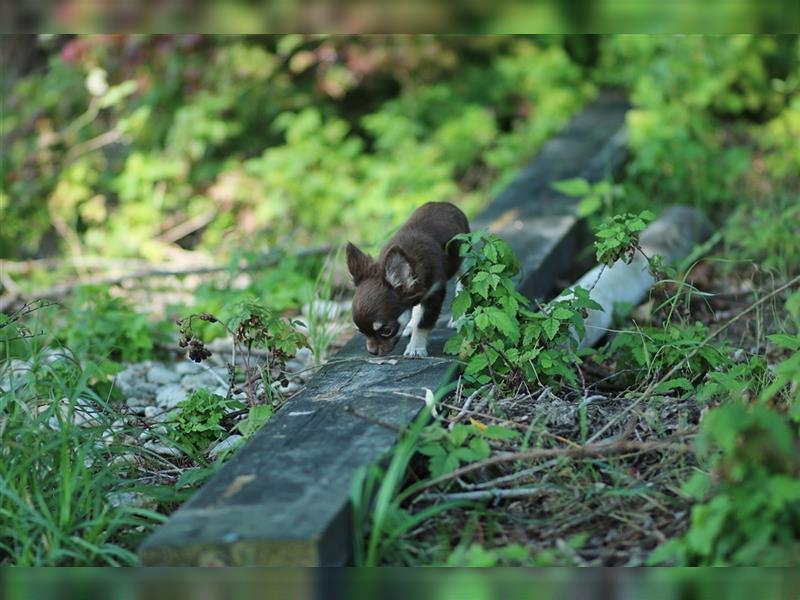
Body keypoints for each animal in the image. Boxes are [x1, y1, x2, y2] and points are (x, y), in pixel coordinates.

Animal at [346, 202, 468, 356]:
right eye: (361, 332)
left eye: (386, 331)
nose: (372, 352)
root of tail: (444, 204)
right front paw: (412, 327)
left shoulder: (434, 293)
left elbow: (423, 323)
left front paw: (416, 347)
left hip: (463, 260)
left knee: (464, 286)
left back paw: (460, 318)